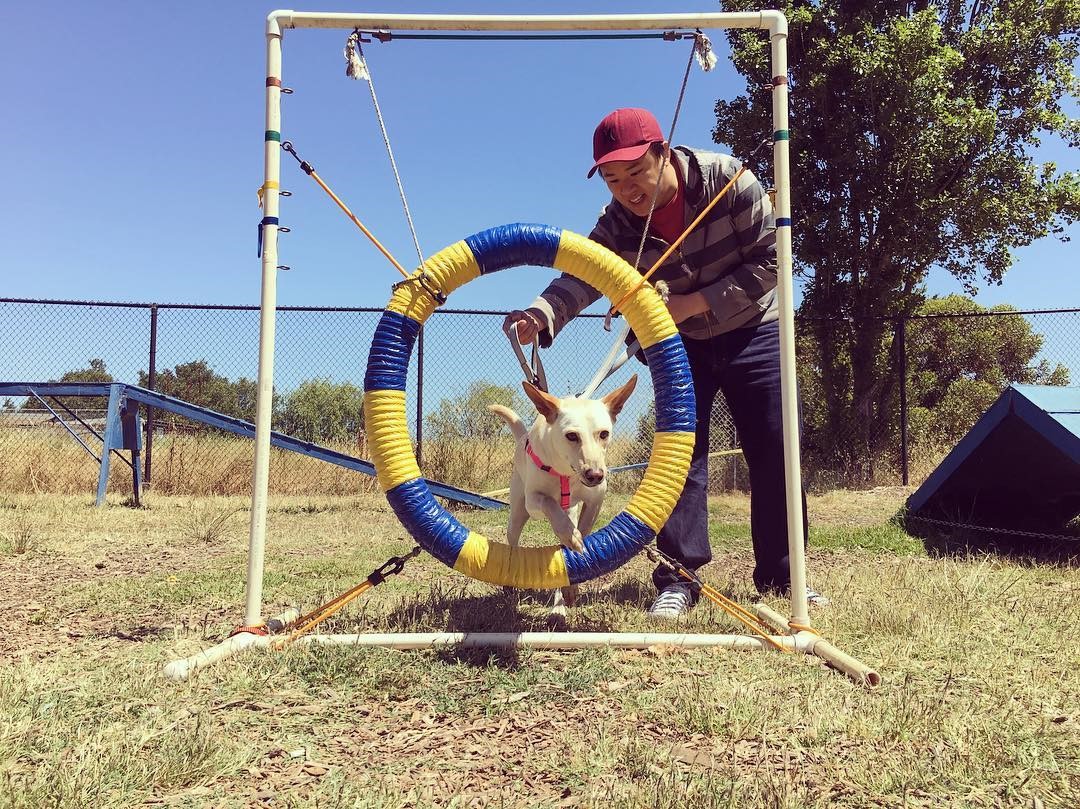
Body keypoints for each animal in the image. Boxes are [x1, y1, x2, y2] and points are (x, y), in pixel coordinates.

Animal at [488, 375, 630, 613]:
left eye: (604, 434)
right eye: (571, 436)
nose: (595, 475)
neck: (566, 473)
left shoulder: (595, 500)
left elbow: (582, 531)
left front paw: (572, 577)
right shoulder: (534, 501)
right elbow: (549, 502)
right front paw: (570, 535)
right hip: (517, 513)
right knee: (513, 544)